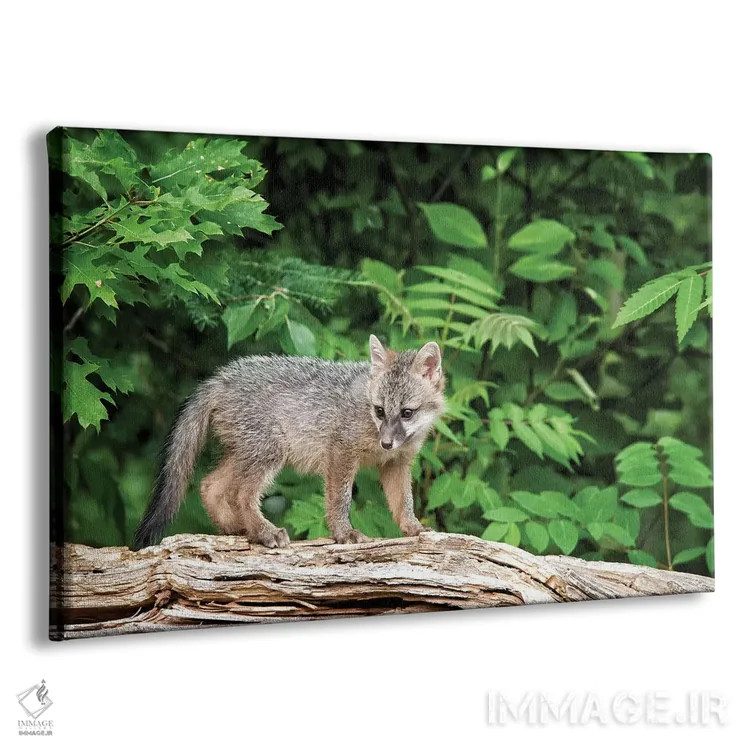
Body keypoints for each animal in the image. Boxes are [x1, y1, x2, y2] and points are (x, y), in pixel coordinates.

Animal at [133, 335, 445, 549]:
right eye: (379, 411)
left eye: (406, 413)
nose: (386, 444)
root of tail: (222, 376)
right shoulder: (341, 452)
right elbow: (339, 499)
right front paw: (344, 533)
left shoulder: (397, 464)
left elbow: (404, 503)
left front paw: (414, 528)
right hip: (270, 452)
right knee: (241, 495)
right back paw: (264, 532)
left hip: (248, 453)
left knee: (210, 486)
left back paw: (241, 529)